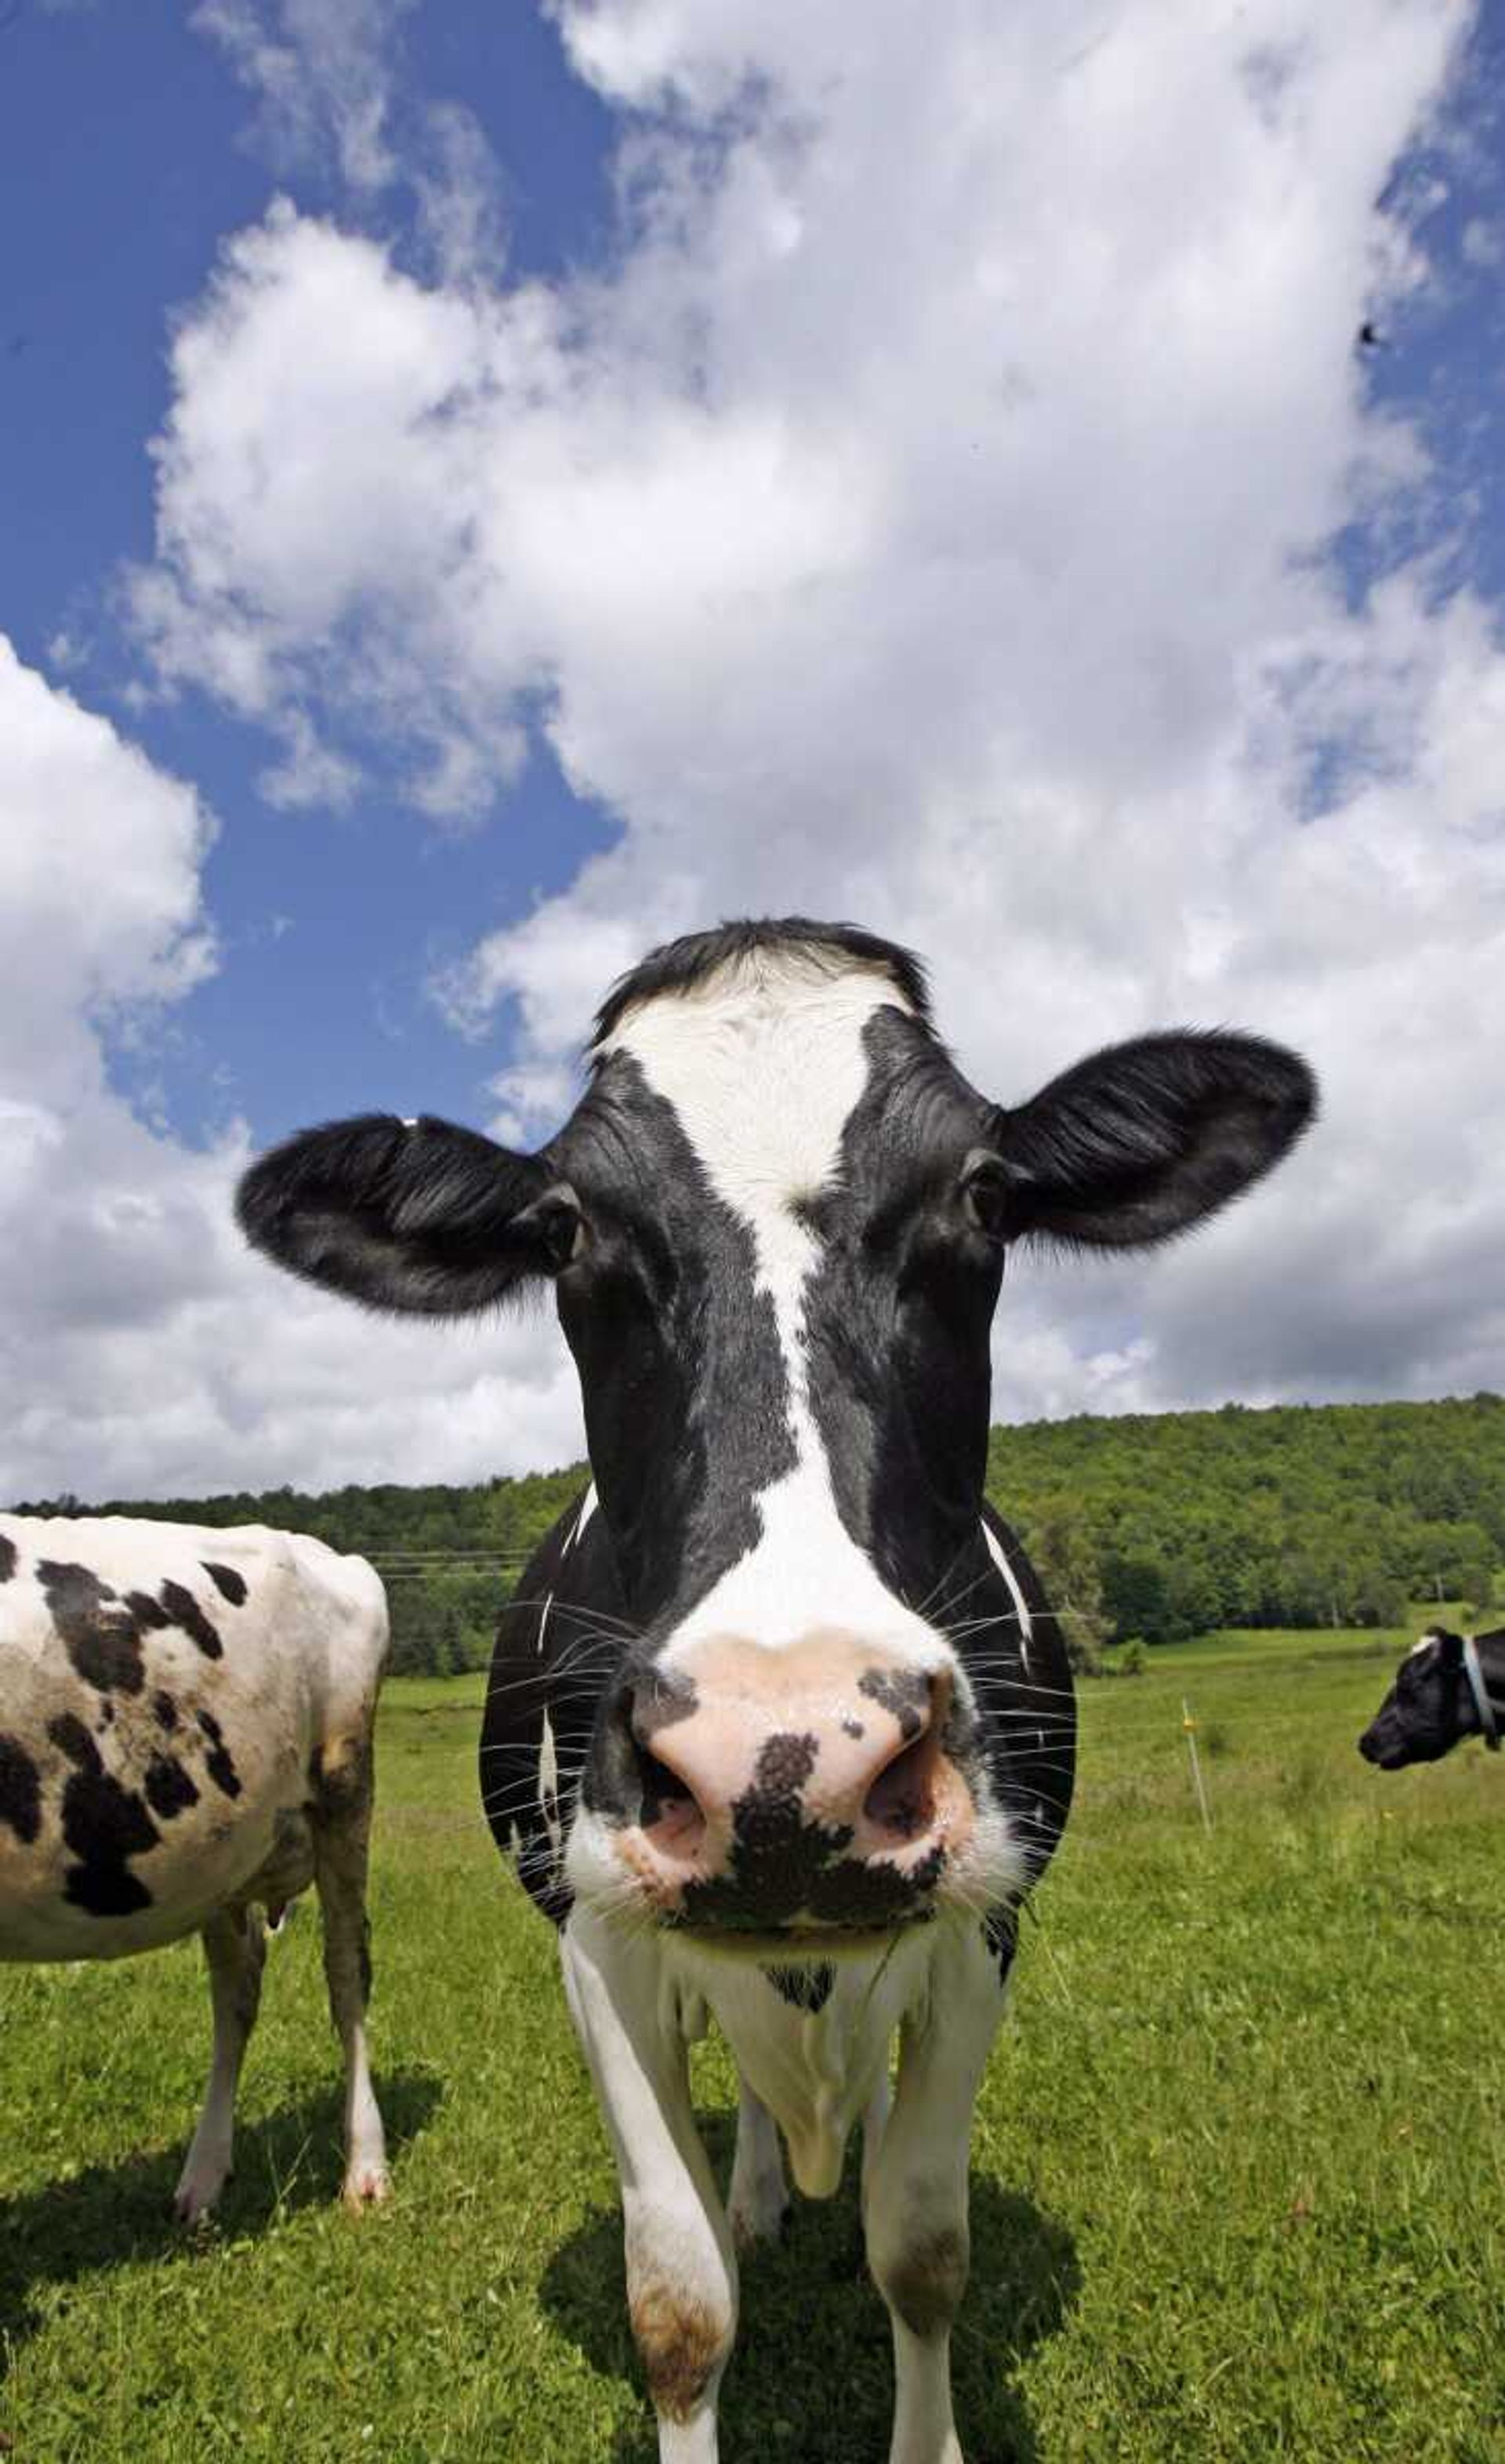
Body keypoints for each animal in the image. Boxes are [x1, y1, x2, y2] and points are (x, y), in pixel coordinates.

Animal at [0, 1508, 393, 2227]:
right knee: (236, 1993)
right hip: (225, 1853)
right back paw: (203, 2179)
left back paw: (365, 2168)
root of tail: (332, 1556)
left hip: (344, 1787)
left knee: (347, 1972)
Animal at [238, 921, 1320, 2464]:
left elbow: (921, 2248)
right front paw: (718, 2252)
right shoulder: (599, 1934)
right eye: (565, 1227)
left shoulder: (984, 1924)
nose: (784, 1753)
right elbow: (679, 2300)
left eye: (986, 1193)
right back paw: (758, 2188)